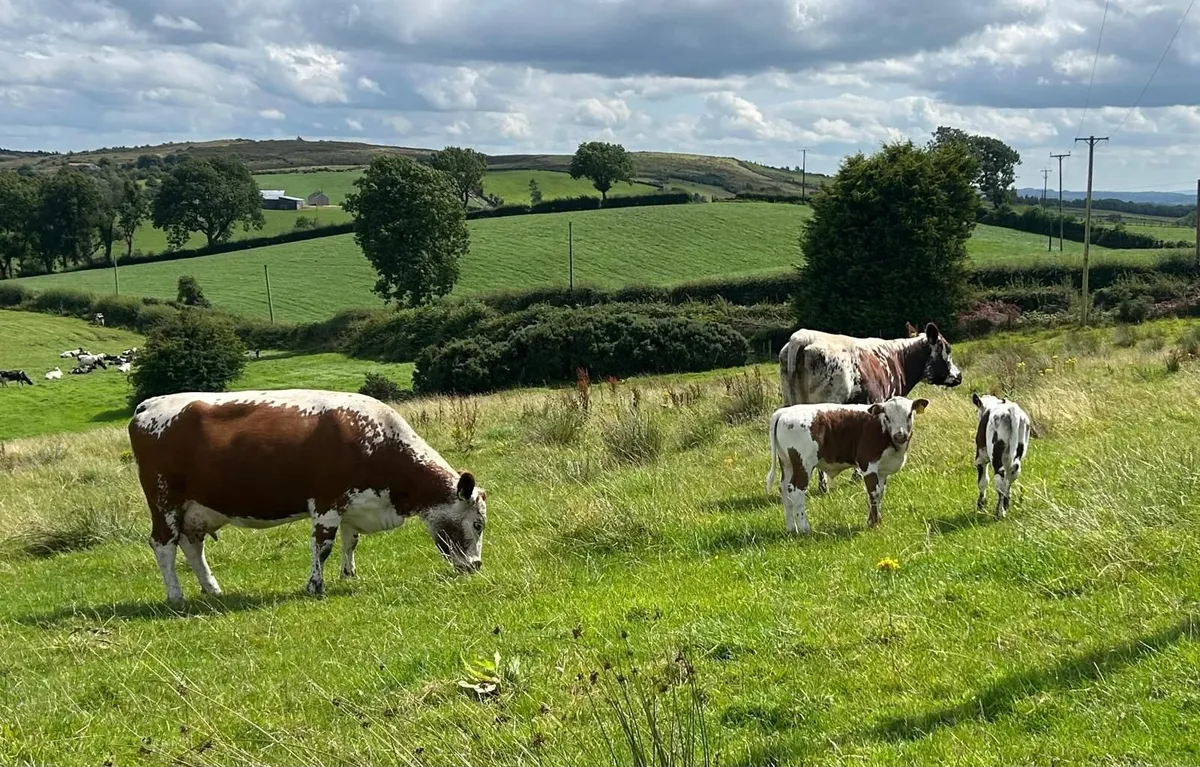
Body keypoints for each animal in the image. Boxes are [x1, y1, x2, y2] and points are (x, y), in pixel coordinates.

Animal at [127, 389, 489, 601]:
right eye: (478, 524)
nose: (476, 565)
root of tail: (150, 404)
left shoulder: (352, 503)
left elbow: (350, 540)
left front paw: (349, 573)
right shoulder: (326, 503)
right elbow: (323, 547)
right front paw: (315, 585)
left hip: (196, 509)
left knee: (192, 545)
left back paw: (212, 588)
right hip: (164, 502)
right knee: (163, 545)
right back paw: (176, 595)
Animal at [766, 396, 929, 534]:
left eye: (909, 415)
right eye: (887, 416)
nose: (900, 435)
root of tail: (784, 411)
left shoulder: (882, 470)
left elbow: (880, 493)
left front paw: (876, 520)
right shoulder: (867, 463)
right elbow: (873, 492)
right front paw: (873, 523)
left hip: (787, 463)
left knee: (784, 489)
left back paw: (790, 528)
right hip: (803, 463)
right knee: (796, 490)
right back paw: (804, 528)